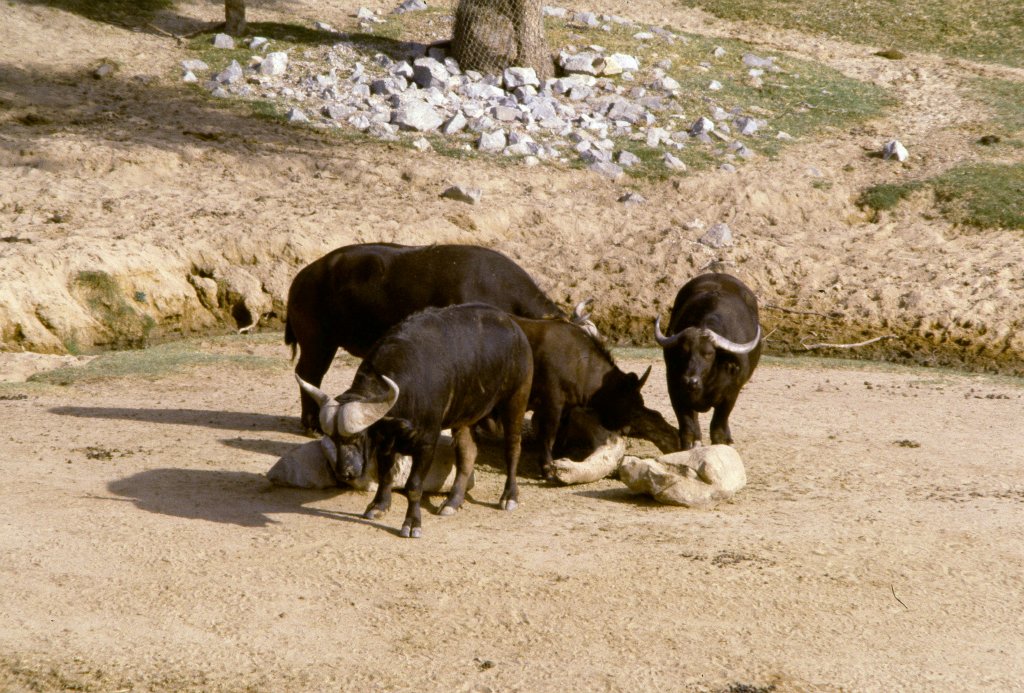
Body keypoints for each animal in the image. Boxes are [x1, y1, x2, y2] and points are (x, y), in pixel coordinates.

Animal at [295, 303, 533, 538]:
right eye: (332, 438)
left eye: (358, 437)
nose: (345, 471)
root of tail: (516, 329)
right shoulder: (386, 443)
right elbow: (385, 476)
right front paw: (378, 506)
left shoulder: (427, 443)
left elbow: (414, 485)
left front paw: (412, 523)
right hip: (466, 416)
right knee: (467, 454)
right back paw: (452, 502)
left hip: (516, 400)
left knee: (513, 448)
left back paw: (509, 496)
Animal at [654, 273, 762, 450]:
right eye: (683, 351)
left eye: (709, 353)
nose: (690, 381)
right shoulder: (675, 390)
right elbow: (687, 428)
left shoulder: (730, 395)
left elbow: (717, 429)